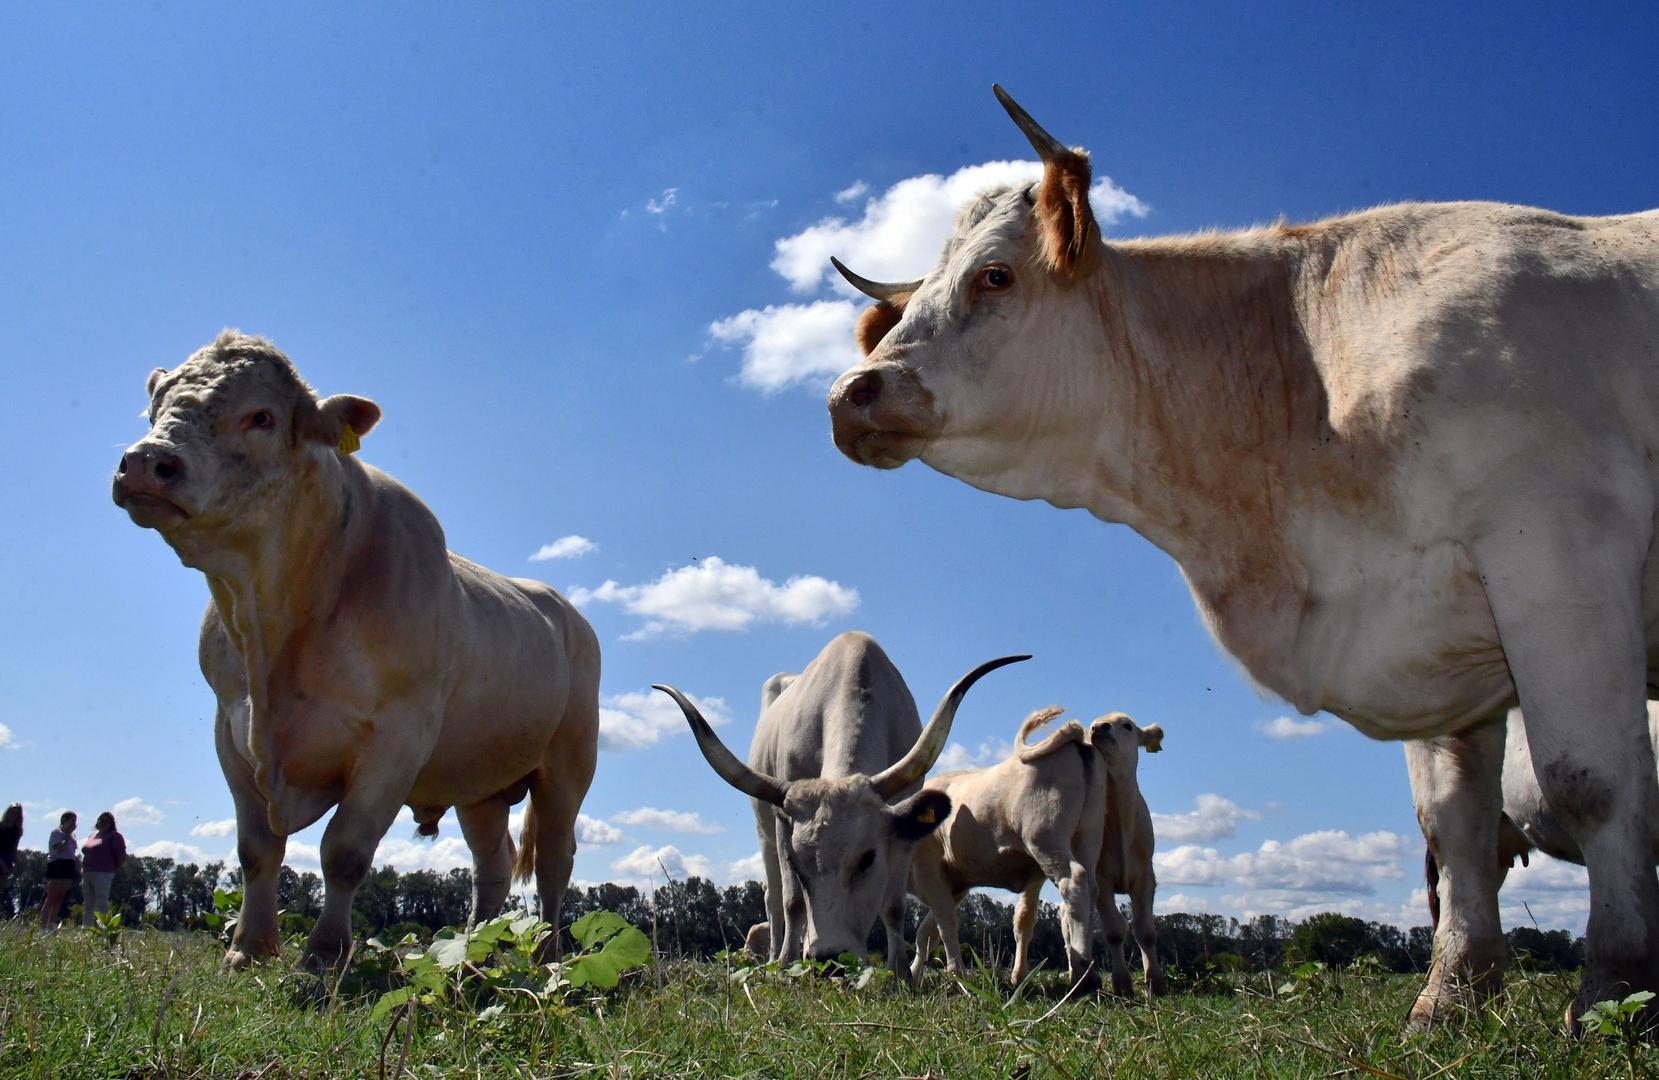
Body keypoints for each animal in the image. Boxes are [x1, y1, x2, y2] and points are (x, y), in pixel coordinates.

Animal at [113, 331, 603, 968]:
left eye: (261, 416)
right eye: (155, 408)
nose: (147, 462)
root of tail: (565, 610)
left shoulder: (397, 739)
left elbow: (343, 850)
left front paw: (324, 953)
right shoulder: (230, 733)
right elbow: (256, 850)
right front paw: (250, 947)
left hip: (568, 764)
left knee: (554, 863)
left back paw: (546, 954)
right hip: (478, 779)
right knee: (491, 865)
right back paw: (476, 951)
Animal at [650, 630, 1021, 975]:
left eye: (867, 859)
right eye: (798, 864)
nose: (828, 959)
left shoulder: (901, 827)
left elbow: (895, 905)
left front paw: (900, 973)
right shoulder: (784, 827)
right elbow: (793, 901)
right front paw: (784, 967)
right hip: (764, 830)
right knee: (773, 898)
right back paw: (774, 957)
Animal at [826, 86, 1659, 1028]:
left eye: (994, 275)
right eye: (914, 299)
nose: (848, 395)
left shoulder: (1558, 553)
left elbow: (1590, 782)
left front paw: (1614, 992)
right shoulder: (1438, 640)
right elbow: (1453, 822)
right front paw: (1448, 999)